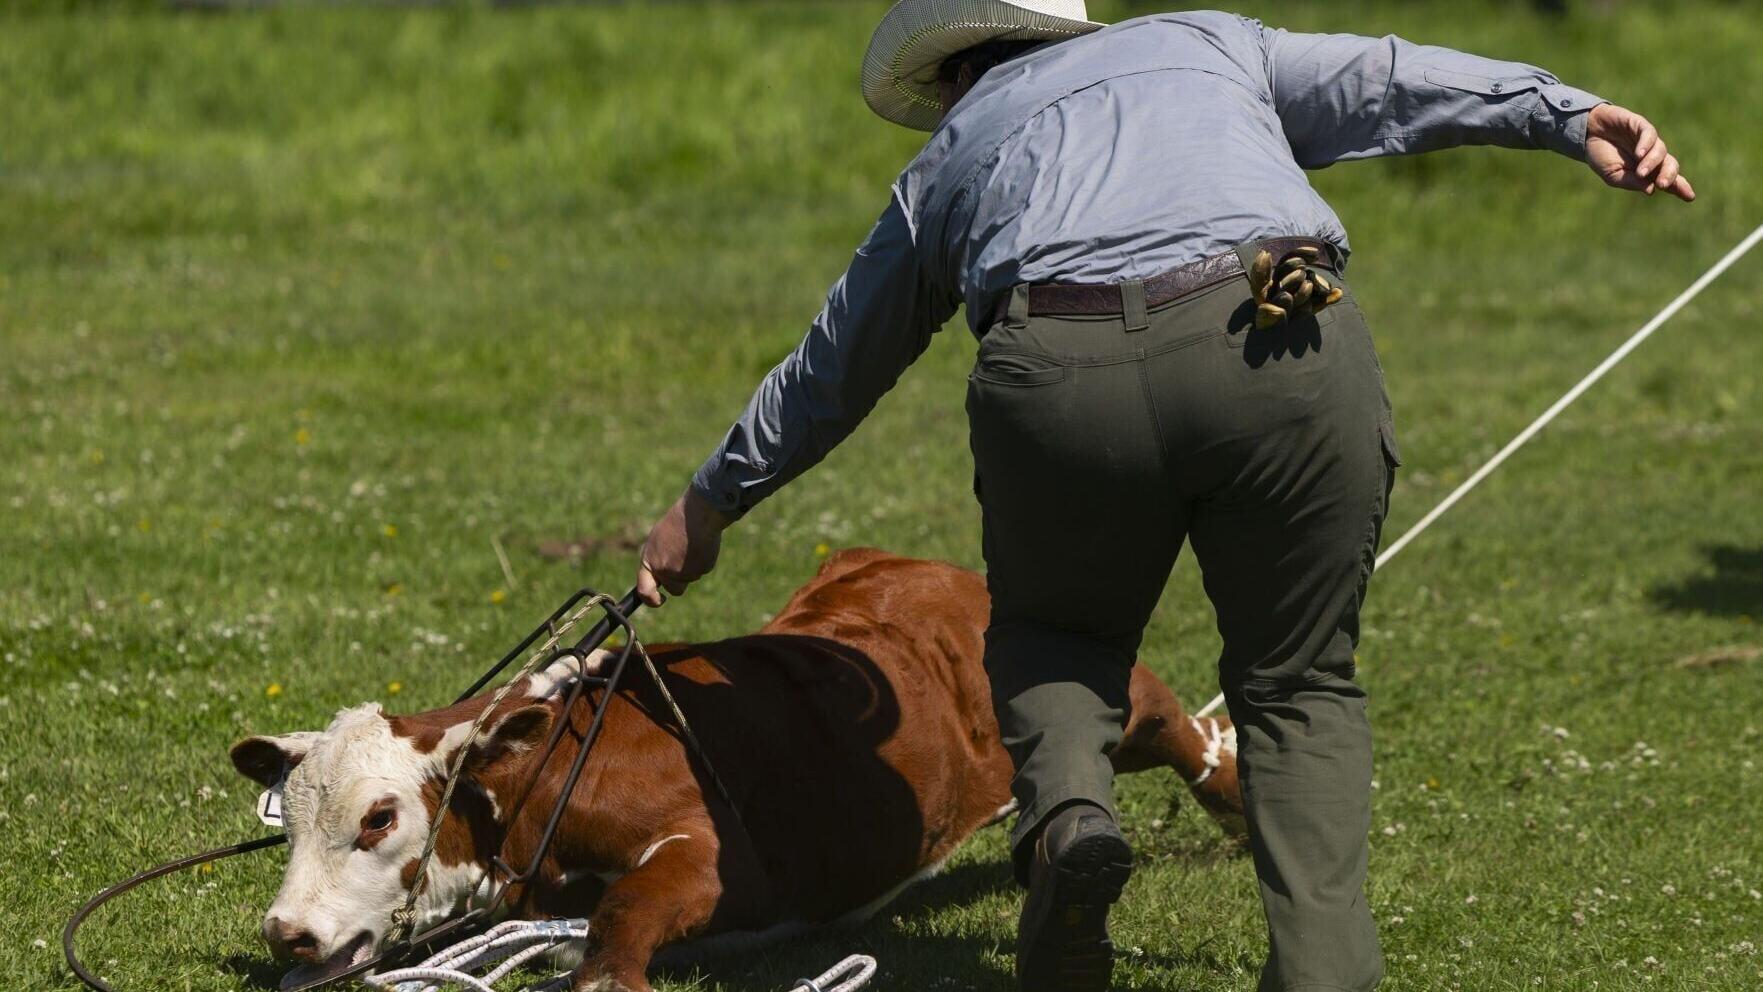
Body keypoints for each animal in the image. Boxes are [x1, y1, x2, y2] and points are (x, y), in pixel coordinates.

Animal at [230, 549, 1242, 992]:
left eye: (379, 818)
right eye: (291, 816)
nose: (287, 933)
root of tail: (928, 567)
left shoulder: (720, 859)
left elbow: (627, 914)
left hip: (1098, 674)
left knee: (1182, 730)